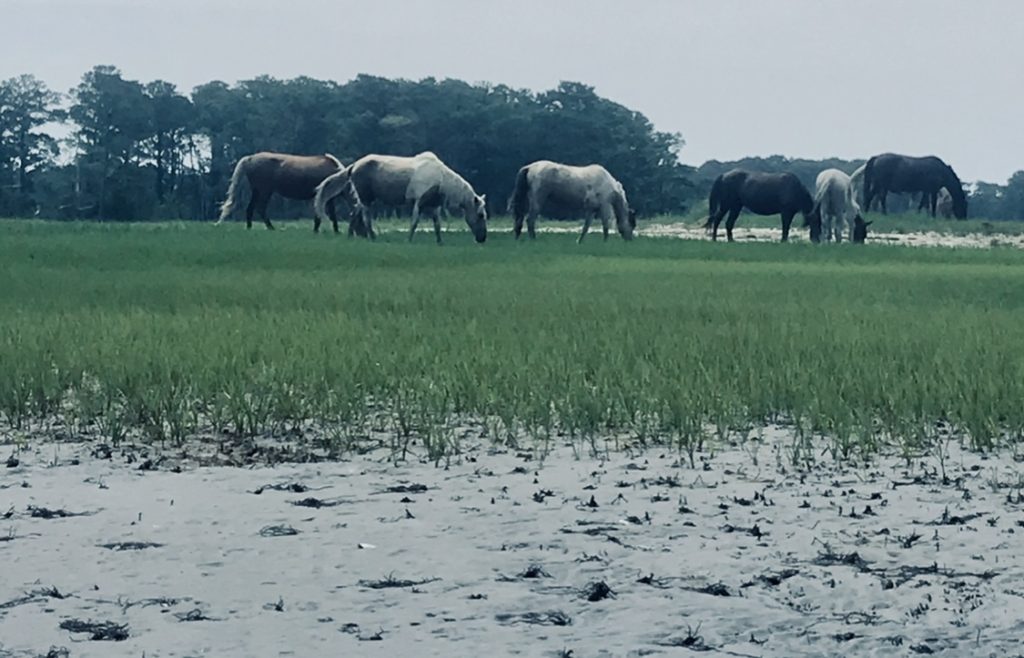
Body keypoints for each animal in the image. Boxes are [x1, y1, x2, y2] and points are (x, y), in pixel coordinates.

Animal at [216, 152, 363, 233]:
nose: (359, 233)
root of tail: (250, 158)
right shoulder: (324, 197)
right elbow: (326, 214)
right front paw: (325, 230)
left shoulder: (327, 198)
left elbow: (329, 214)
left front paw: (333, 230)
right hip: (265, 191)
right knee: (260, 208)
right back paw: (270, 228)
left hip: (257, 190)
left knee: (250, 208)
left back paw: (249, 227)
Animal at [315, 152, 487, 244]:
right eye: (480, 215)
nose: (482, 238)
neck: (441, 180)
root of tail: (354, 165)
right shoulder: (419, 202)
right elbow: (414, 222)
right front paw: (409, 240)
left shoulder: (433, 206)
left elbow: (437, 225)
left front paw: (440, 242)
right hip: (366, 198)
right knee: (365, 217)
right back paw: (372, 237)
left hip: (364, 199)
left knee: (354, 214)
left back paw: (351, 236)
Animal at [508, 160, 636, 242]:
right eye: (632, 224)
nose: (629, 240)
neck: (608, 184)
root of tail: (530, 167)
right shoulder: (604, 206)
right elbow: (605, 225)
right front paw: (605, 242)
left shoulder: (591, 209)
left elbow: (586, 226)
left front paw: (579, 241)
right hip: (537, 200)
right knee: (530, 220)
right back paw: (533, 239)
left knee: (520, 218)